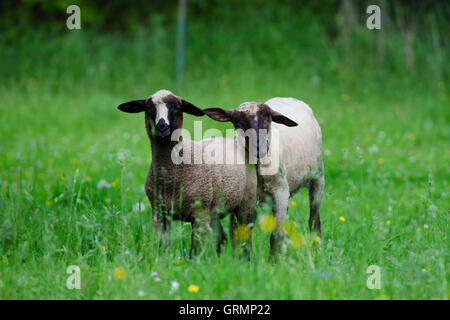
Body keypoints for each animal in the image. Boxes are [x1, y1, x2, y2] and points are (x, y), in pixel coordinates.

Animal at [116, 89, 256, 256]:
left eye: (177, 107)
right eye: (149, 107)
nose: (162, 127)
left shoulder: (199, 213)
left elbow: (194, 250)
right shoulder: (159, 214)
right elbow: (163, 248)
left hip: (245, 202)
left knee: (244, 238)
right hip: (214, 210)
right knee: (221, 238)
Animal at [204, 97, 324, 255]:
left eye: (267, 118)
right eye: (238, 122)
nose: (259, 148)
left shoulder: (280, 192)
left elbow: (275, 235)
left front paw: (272, 260)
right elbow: (239, 234)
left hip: (318, 176)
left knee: (314, 218)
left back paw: (317, 249)